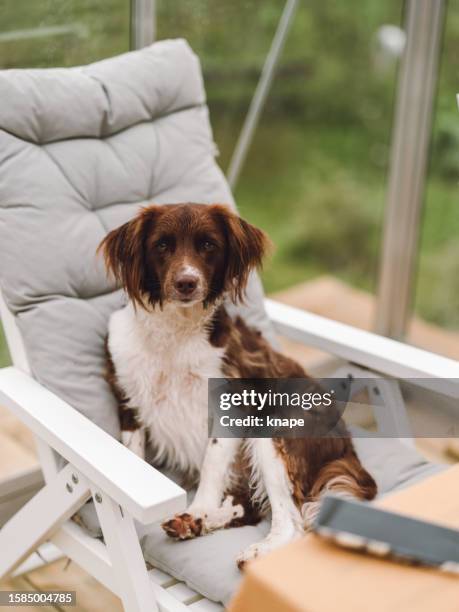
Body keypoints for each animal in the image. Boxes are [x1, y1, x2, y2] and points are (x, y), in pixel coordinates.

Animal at [98, 203, 378, 568]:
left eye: (208, 245)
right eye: (161, 245)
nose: (186, 282)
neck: (175, 333)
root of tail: (347, 446)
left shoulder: (230, 407)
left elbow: (212, 466)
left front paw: (198, 509)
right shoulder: (129, 398)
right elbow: (135, 456)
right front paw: (189, 514)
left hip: (273, 427)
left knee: (292, 521)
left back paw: (250, 548)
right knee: (247, 507)